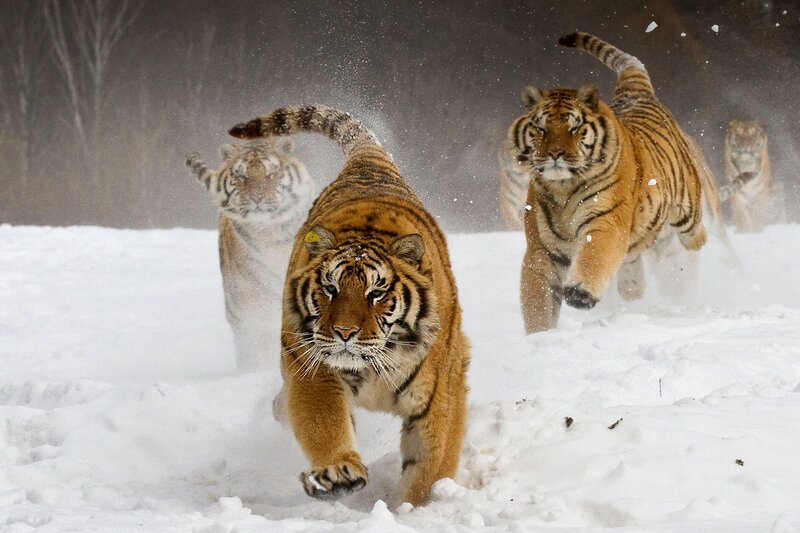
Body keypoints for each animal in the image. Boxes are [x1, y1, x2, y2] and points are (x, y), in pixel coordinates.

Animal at [228, 105, 470, 506]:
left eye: (376, 293)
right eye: (330, 288)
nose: (344, 332)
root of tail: (367, 163)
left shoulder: (441, 395)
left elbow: (430, 466)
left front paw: (417, 507)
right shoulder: (313, 369)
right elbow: (324, 424)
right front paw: (337, 474)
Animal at [507, 31, 710, 333]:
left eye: (574, 128)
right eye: (541, 128)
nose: (555, 154)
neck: (562, 188)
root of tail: (635, 92)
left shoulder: (606, 221)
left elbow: (595, 255)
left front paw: (580, 293)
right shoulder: (541, 248)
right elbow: (536, 301)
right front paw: (539, 336)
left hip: (686, 206)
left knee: (693, 234)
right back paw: (633, 287)